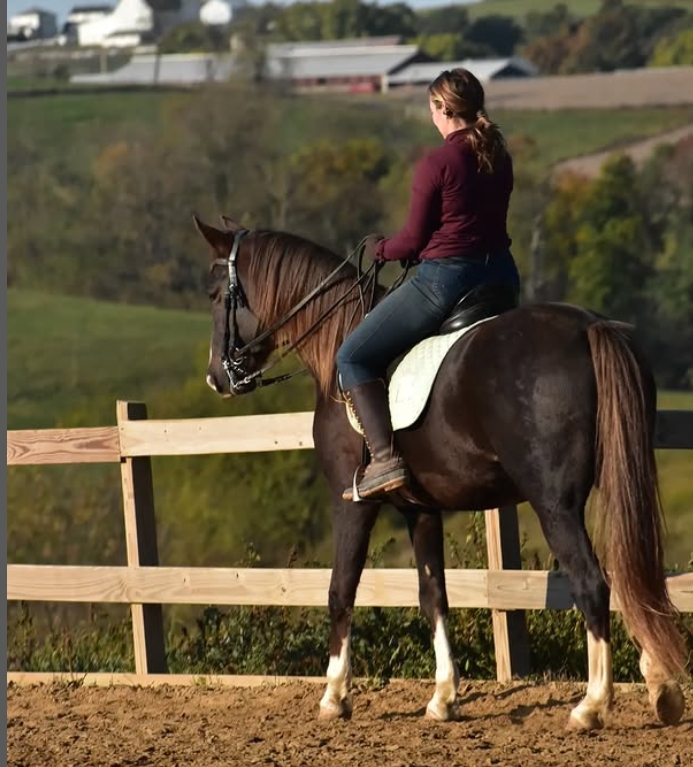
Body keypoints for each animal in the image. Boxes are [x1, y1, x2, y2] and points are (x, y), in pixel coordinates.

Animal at [193, 214, 688, 730]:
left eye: (215, 294)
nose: (216, 378)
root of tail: (591, 327)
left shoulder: (351, 502)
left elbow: (340, 589)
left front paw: (334, 696)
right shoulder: (422, 510)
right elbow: (433, 595)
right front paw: (443, 697)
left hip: (555, 504)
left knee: (593, 583)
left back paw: (591, 705)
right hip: (612, 483)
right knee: (631, 573)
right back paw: (662, 689)